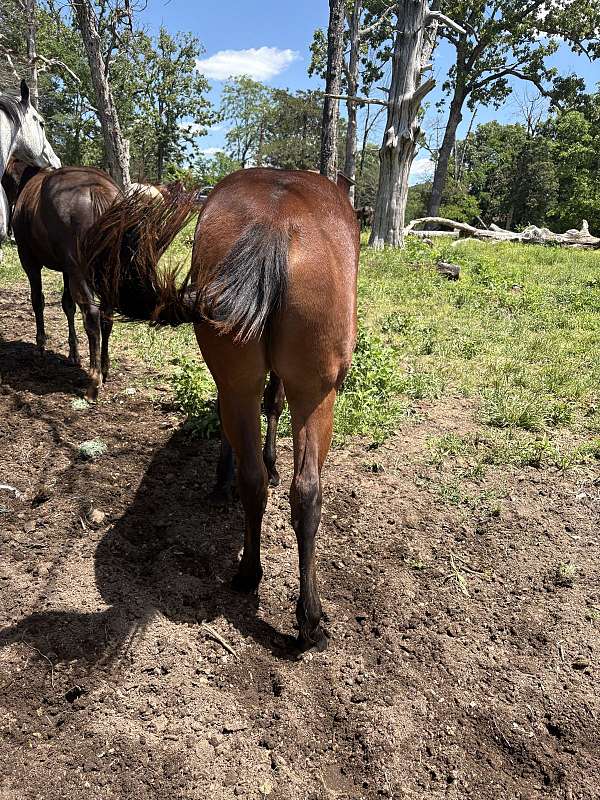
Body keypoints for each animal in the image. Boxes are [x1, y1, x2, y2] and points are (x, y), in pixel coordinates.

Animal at [80, 167, 359, 652]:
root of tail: (273, 223)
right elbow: (274, 403)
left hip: (251, 380)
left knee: (267, 483)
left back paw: (258, 580)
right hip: (314, 395)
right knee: (296, 485)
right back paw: (301, 613)